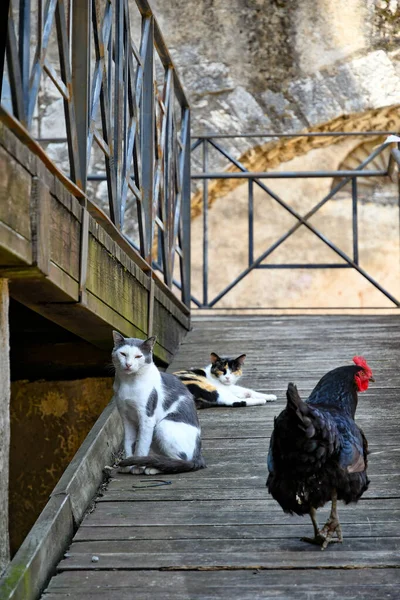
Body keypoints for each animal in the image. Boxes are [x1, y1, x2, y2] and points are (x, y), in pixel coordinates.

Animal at [112, 330, 206, 476]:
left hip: (162, 426)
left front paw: (137, 467)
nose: (128, 364)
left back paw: (153, 468)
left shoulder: (147, 417)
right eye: (123, 354)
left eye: (138, 356)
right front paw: (127, 464)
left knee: (181, 461)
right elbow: (128, 442)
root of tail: (198, 455)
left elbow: (142, 445)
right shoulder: (126, 418)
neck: (128, 384)